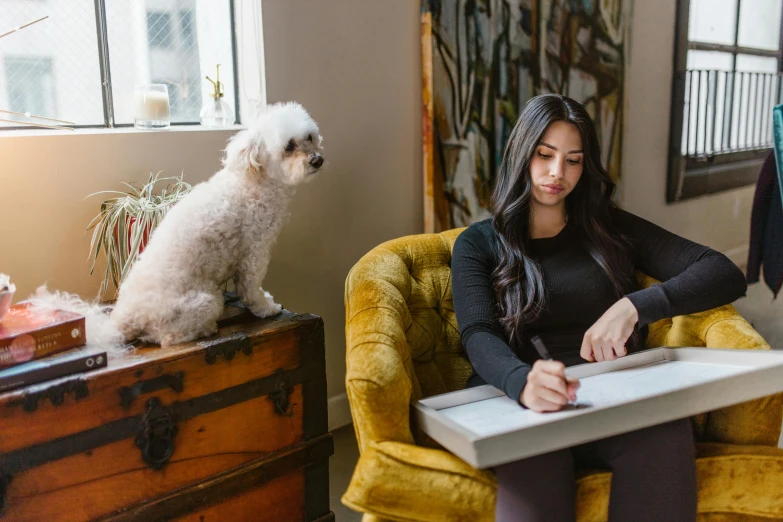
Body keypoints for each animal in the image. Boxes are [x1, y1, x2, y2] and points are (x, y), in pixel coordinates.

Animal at [108, 101, 324, 346]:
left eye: (309, 137)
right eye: (288, 146)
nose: (317, 160)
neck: (254, 181)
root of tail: (126, 318)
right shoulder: (254, 251)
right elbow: (250, 287)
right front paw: (266, 308)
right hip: (206, 301)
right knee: (168, 337)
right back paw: (206, 329)